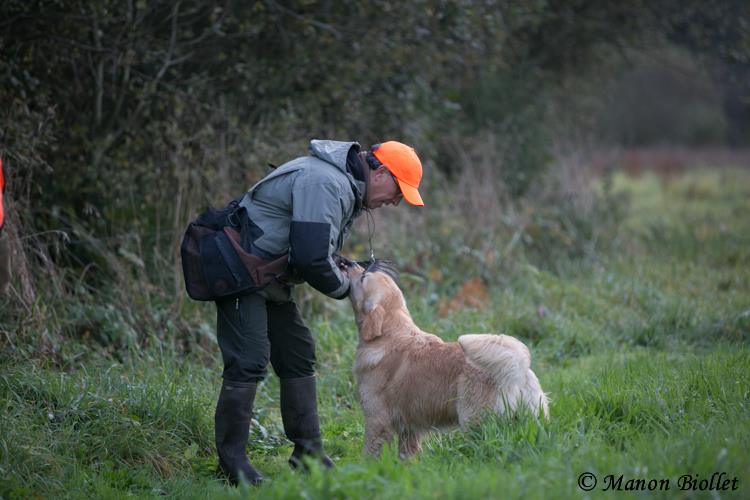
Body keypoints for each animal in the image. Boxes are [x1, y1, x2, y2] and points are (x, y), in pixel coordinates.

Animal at [344, 262, 548, 458]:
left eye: (363, 278)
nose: (348, 264)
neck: (389, 334)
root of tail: (518, 370)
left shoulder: (377, 420)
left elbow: (369, 454)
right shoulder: (409, 429)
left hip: (475, 424)